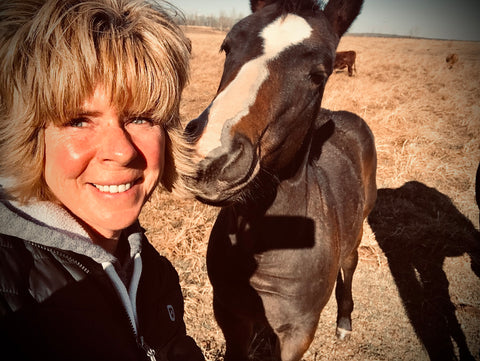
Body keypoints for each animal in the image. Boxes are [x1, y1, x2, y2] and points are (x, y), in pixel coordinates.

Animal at [184, 0, 376, 360]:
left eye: (319, 74)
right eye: (227, 46)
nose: (211, 155)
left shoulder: (299, 332)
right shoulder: (229, 314)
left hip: (357, 231)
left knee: (350, 264)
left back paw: (344, 322)